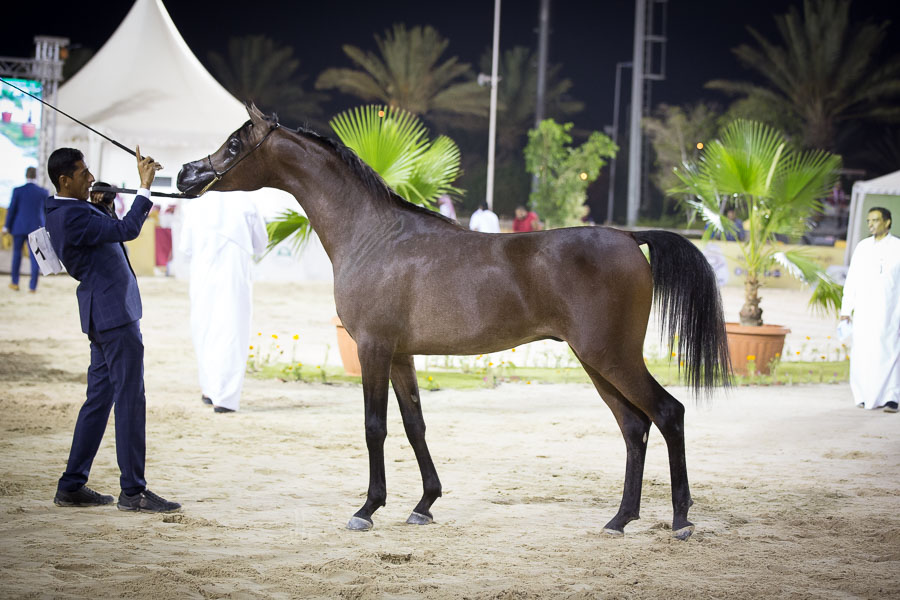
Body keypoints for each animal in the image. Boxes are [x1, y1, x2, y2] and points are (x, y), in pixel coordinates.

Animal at [177, 105, 731, 540]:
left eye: (234, 144)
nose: (185, 174)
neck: (375, 235)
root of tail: (629, 235)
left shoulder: (374, 348)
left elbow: (375, 427)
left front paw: (367, 508)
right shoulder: (400, 354)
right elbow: (415, 424)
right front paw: (424, 504)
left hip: (611, 356)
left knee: (668, 413)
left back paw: (681, 520)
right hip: (596, 361)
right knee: (635, 427)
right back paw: (619, 520)